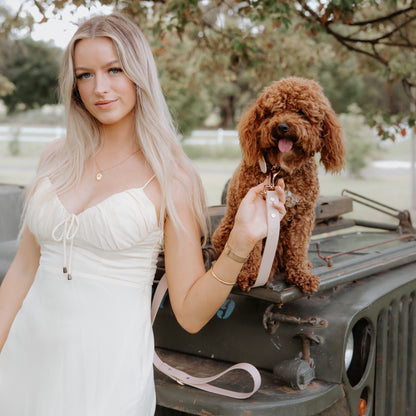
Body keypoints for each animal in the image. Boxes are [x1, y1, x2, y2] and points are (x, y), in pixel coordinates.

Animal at [211, 77, 344, 292]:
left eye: (302, 112)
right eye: (272, 112)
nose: (282, 126)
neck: (281, 170)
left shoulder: (303, 216)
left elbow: (298, 247)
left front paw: (301, 275)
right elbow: (251, 250)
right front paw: (250, 275)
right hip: (225, 230)